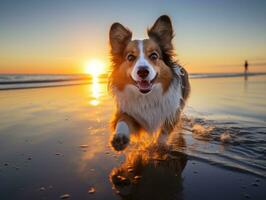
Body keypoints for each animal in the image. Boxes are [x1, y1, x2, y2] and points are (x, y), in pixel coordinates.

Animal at [109, 15, 190, 150]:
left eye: (154, 56)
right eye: (130, 57)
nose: (143, 72)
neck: (147, 97)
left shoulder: (172, 113)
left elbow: (164, 132)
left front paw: (160, 146)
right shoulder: (129, 112)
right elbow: (123, 120)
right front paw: (120, 138)